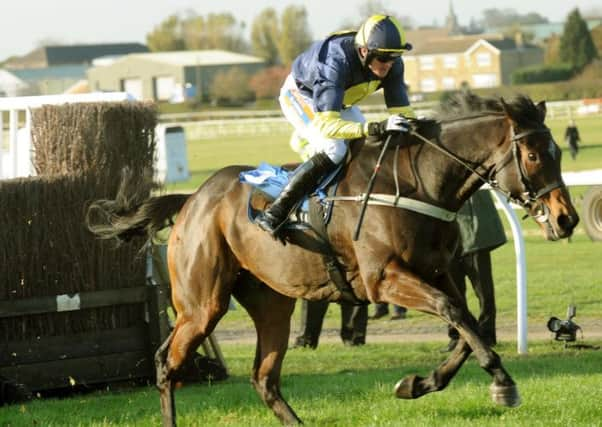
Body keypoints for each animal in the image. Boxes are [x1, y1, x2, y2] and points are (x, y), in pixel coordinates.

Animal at [85, 93, 576, 424]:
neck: (417, 182)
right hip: (202, 303)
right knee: (167, 363)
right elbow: (455, 314)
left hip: (272, 301)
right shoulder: (384, 278)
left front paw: (417, 384)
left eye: (556, 152)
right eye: (534, 155)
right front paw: (502, 382)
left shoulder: (438, 271)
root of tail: (192, 199)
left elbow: (465, 321)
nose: (566, 218)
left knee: (264, 377)